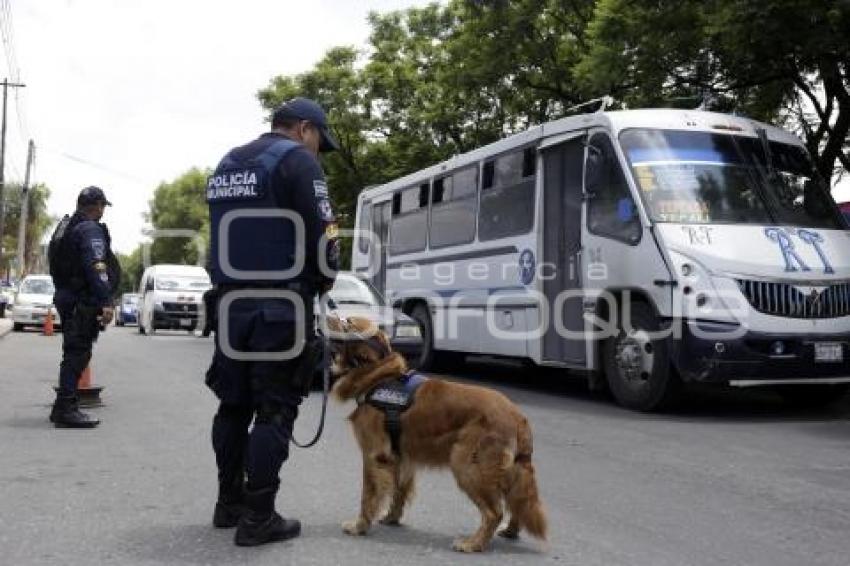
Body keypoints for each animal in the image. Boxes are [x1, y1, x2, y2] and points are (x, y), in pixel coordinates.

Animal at [328, 320, 548, 556]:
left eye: (346, 322)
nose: (322, 316)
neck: (377, 377)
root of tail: (518, 417)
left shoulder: (373, 456)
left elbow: (368, 495)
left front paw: (359, 526)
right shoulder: (401, 456)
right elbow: (398, 491)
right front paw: (391, 518)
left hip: (467, 464)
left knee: (494, 512)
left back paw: (473, 543)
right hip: (506, 469)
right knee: (516, 503)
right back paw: (509, 531)